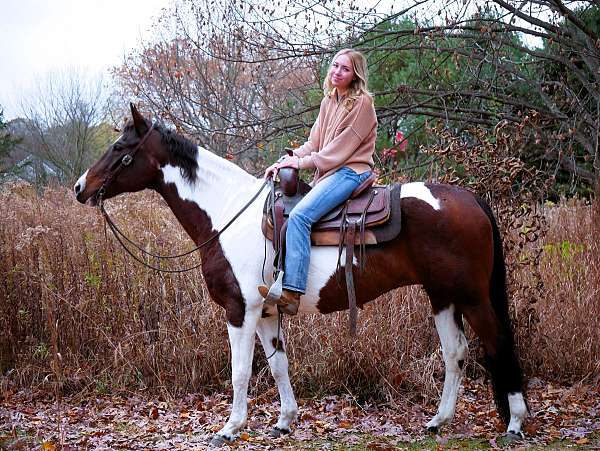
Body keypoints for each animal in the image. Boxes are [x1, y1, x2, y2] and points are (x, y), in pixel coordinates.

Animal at [72, 105, 528, 444]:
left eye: (120, 147)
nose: (79, 188)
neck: (228, 213)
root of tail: (470, 199)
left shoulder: (240, 311)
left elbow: (241, 372)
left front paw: (230, 428)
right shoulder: (265, 312)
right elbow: (278, 366)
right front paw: (284, 421)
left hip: (471, 297)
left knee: (499, 343)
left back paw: (515, 423)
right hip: (443, 296)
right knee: (456, 353)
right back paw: (438, 422)